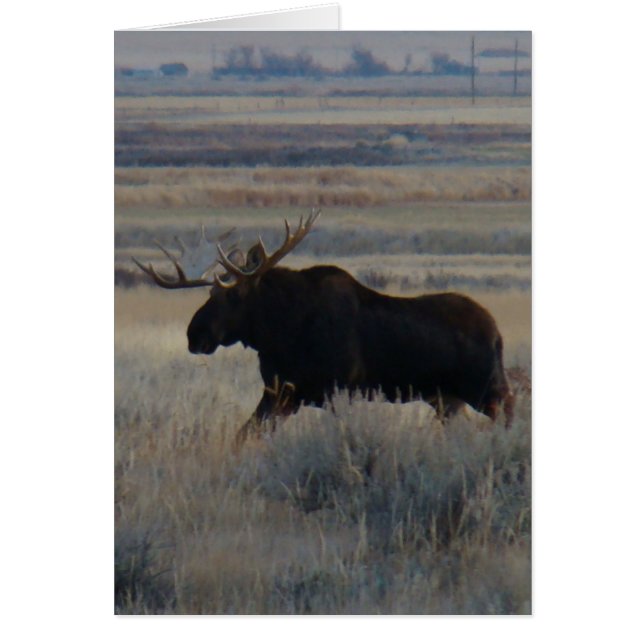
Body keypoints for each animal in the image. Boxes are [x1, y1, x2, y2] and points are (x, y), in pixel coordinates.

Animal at [133, 210, 514, 444]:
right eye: (210, 292)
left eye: (236, 293)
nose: (195, 335)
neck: (279, 335)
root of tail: (497, 333)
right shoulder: (281, 393)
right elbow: (245, 434)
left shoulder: (337, 390)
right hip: (447, 400)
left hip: (487, 389)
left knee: (511, 415)